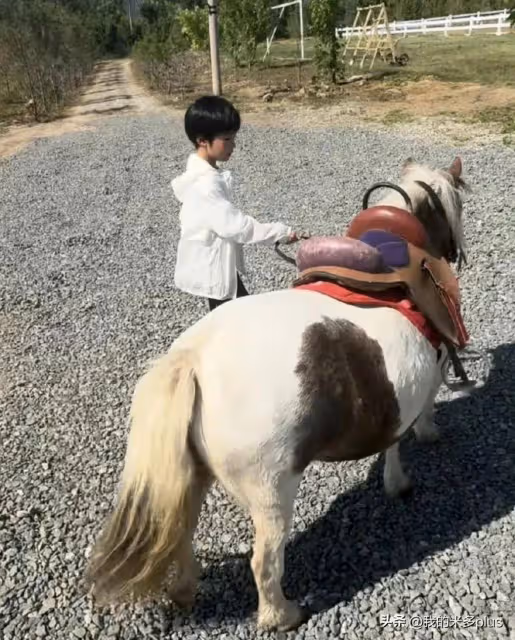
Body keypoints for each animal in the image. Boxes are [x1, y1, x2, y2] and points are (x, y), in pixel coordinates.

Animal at [85, 156, 470, 632]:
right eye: (456, 206)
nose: (454, 251)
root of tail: (192, 359)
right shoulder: (427, 376)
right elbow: (406, 430)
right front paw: (412, 462)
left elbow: (393, 441)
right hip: (271, 493)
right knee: (264, 562)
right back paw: (282, 615)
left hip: (192, 477)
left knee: (181, 534)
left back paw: (185, 590)